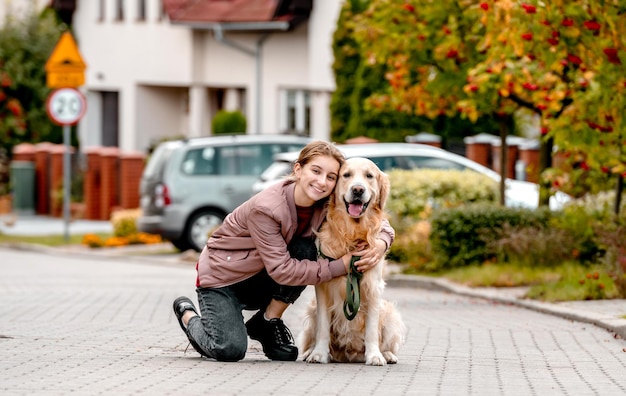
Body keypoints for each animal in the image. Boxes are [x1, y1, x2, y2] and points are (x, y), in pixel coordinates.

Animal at [298, 157, 404, 366]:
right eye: (346, 175)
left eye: (369, 176)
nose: (357, 190)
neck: (352, 232)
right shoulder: (322, 287)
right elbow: (323, 327)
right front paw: (319, 354)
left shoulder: (373, 286)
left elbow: (371, 329)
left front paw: (374, 356)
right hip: (311, 309)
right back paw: (309, 352)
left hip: (389, 313)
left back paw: (386, 354)